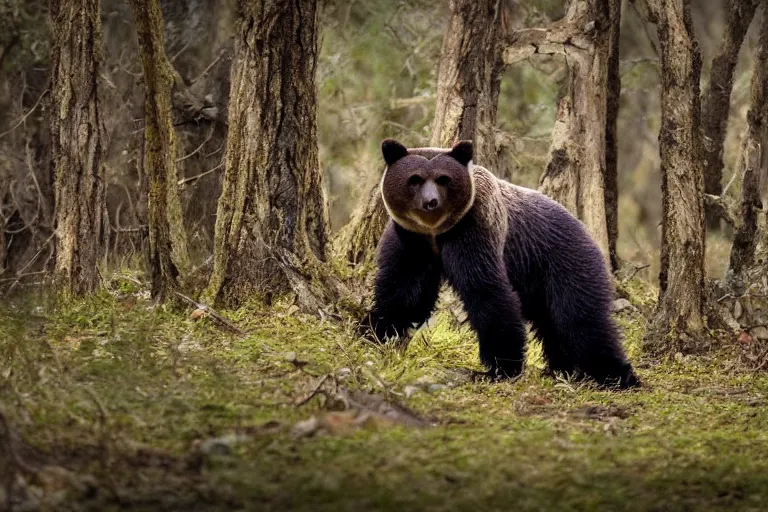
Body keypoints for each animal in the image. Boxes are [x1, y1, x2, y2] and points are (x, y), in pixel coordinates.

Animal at [364, 137, 640, 388]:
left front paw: (501, 367)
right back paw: (565, 369)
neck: (435, 233)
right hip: (536, 279)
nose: (430, 202)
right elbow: (402, 290)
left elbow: (486, 291)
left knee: (580, 317)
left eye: (443, 179)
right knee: (552, 324)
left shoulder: (475, 229)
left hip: (564, 261)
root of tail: (585, 228)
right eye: (415, 179)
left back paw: (617, 375)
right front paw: (380, 332)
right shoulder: (410, 241)